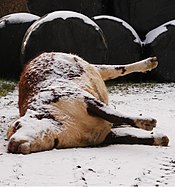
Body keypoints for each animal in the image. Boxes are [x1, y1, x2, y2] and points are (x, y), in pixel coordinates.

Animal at [6, 52, 168, 153]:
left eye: (17, 125)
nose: (11, 146)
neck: (63, 125)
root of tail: (41, 55)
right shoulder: (105, 137)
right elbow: (131, 137)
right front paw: (160, 139)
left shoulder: (84, 99)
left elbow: (115, 115)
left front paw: (146, 122)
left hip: (93, 66)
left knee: (117, 69)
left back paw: (149, 63)